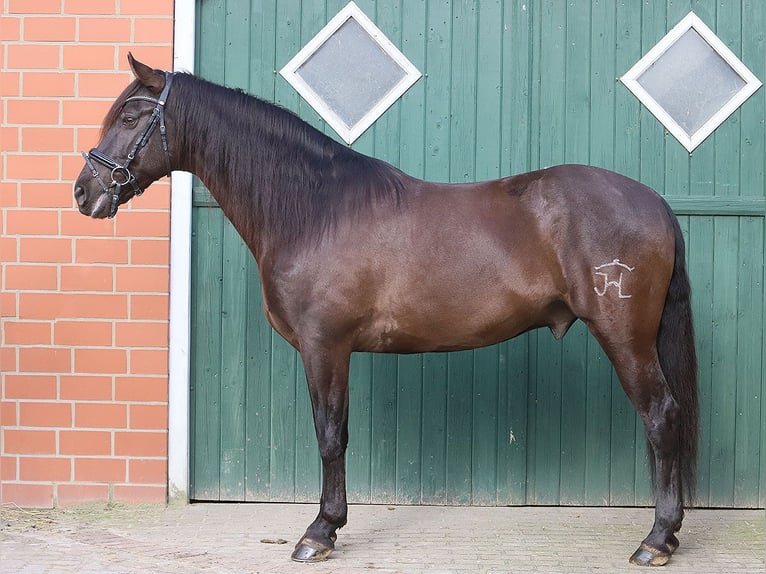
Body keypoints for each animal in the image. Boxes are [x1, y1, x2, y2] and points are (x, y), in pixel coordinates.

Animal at [75, 56, 700, 568]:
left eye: (130, 115)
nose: (85, 192)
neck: (315, 209)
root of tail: (653, 202)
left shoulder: (325, 347)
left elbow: (330, 434)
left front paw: (320, 533)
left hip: (625, 337)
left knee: (661, 415)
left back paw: (655, 539)